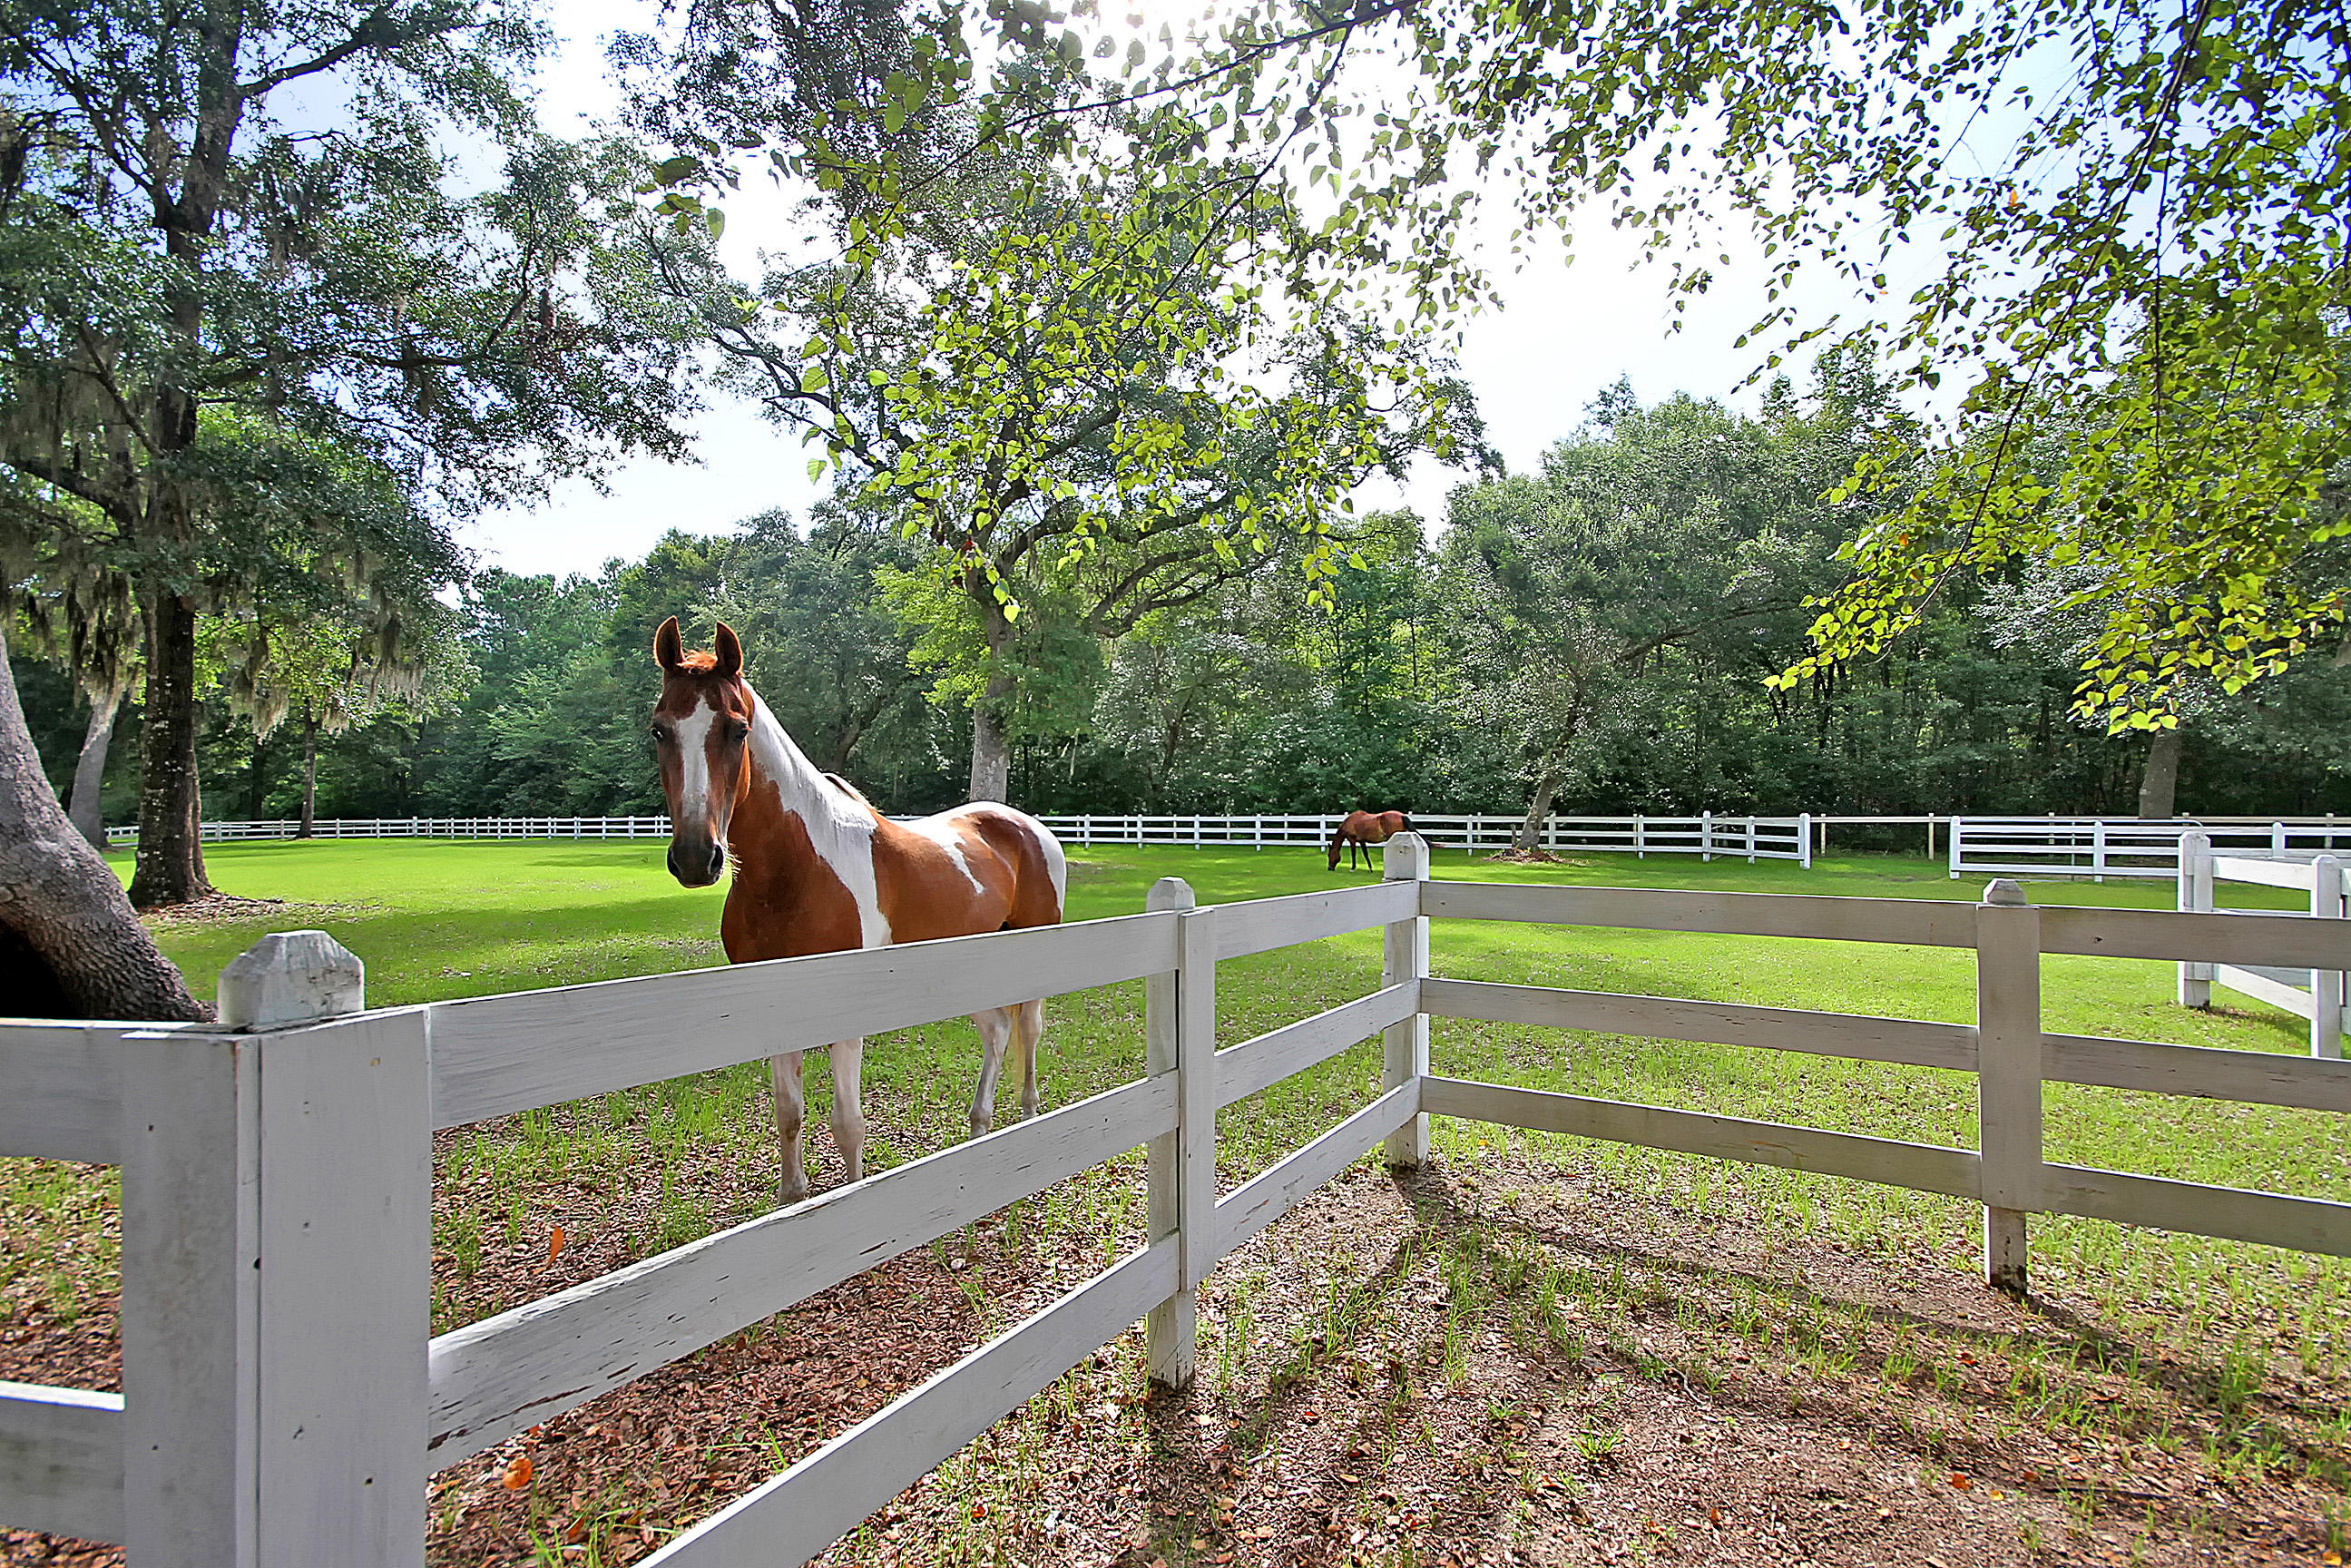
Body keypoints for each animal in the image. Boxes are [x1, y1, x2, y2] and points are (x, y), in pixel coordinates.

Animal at [650, 617, 1068, 1205]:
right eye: (659, 730)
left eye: (736, 730)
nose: (694, 857)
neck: (796, 869)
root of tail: (1031, 828)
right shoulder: (777, 1008)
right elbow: (789, 1115)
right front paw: (792, 1200)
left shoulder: (844, 1014)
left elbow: (847, 1123)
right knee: (996, 1030)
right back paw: (979, 1129)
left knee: (1027, 1031)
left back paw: (1029, 1124)